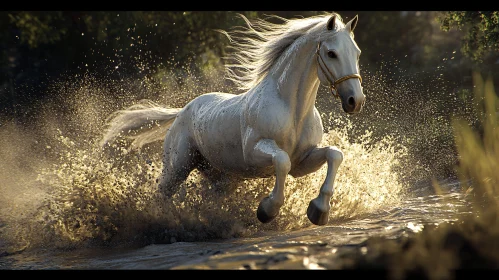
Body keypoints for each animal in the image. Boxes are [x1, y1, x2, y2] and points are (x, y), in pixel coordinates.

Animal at [102, 13, 368, 226]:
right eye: (331, 53)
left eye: (357, 52)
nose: (355, 101)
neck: (293, 112)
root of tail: (181, 113)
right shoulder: (255, 152)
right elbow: (281, 161)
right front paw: (267, 211)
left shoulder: (303, 161)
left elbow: (335, 154)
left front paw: (319, 211)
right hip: (177, 167)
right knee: (161, 195)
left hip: (222, 180)